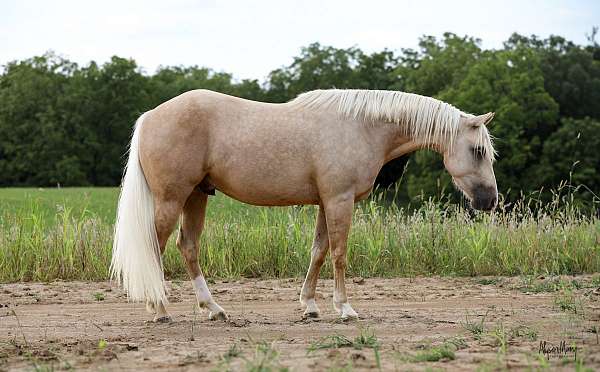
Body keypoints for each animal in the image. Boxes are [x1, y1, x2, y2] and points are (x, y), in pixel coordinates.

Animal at [111, 88, 496, 322]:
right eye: (478, 150)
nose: (490, 201)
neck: (362, 127)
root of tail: (150, 116)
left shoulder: (327, 202)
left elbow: (319, 251)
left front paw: (309, 305)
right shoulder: (340, 200)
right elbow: (339, 254)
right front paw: (345, 308)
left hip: (196, 196)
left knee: (187, 246)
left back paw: (214, 309)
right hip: (172, 198)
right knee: (155, 247)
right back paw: (160, 308)